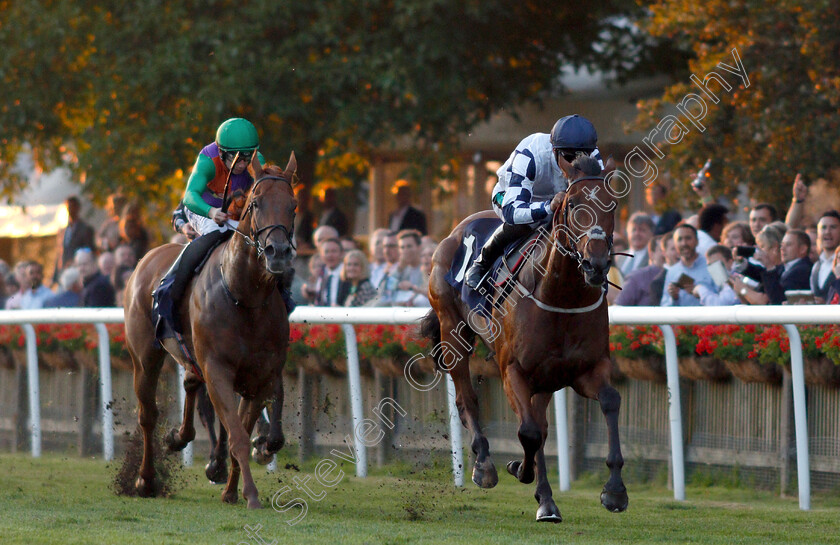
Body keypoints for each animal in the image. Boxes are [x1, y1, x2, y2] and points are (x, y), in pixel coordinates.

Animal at [123, 152, 296, 506]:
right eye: (255, 203)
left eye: (293, 205)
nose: (279, 253)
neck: (244, 297)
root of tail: (147, 258)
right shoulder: (218, 369)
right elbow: (237, 436)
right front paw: (251, 494)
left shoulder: (261, 376)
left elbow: (243, 429)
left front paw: (232, 490)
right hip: (145, 357)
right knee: (148, 415)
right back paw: (145, 480)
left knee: (190, 383)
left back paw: (179, 438)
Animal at [424, 152, 628, 520]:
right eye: (572, 203)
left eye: (613, 204)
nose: (596, 264)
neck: (562, 298)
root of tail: (453, 232)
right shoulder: (513, 371)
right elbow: (528, 432)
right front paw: (520, 470)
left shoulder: (585, 370)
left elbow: (608, 401)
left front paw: (615, 490)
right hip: (452, 331)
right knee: (468, 400)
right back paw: (485, 465)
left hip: (545, 377)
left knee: (541, 425)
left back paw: (544, 498)